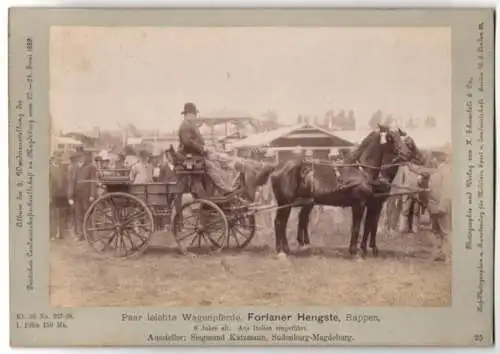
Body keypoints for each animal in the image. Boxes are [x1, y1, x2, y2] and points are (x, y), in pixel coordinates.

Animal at [252, 126, 416, 256]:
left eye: (401, 137)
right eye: (390, 138)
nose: (408, 153)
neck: (361, 171)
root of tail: (277, 166)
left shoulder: (373, 204)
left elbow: (369, 226)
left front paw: (366, 249)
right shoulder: (360, 204)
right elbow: (357, 227)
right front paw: (354, 251)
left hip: (290, 203)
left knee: (282, 222)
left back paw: (285, 248)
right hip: (286, 202)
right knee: (280, 223)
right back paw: (282, 250)